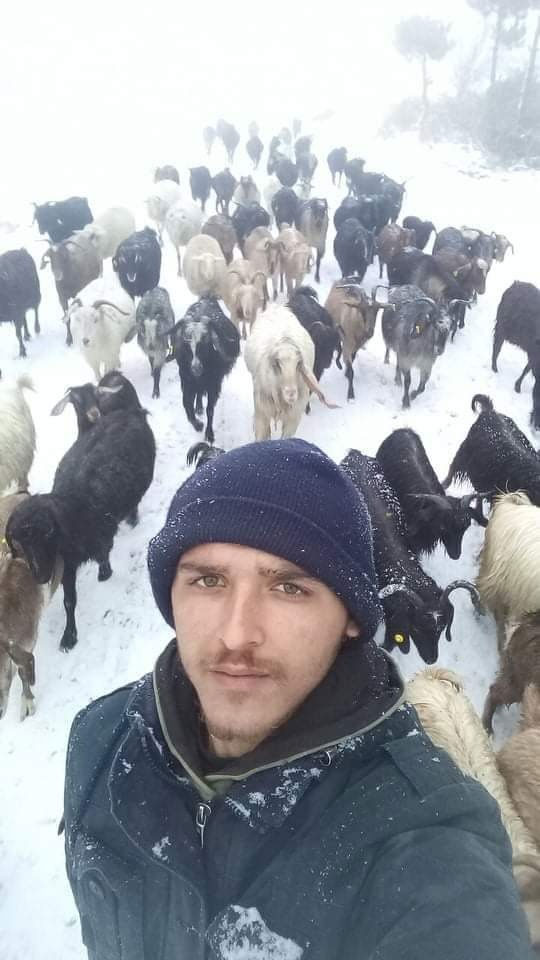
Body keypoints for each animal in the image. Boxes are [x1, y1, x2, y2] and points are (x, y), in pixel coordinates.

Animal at [6, 402, 155, 650]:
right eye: (19, 543)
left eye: (47, 533)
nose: (40, 576)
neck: (76, 510)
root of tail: (130, 412)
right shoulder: (67, 563)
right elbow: (69, 601)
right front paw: (69, 636)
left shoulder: (100, 540)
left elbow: (103, 555)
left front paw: (105, 573)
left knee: (135, 502)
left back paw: (132, 519)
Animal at [171, 297, 240, 443]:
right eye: (187, 346)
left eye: (204, 344)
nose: (196, 368)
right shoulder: (187, 382)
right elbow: (186, 405)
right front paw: (198, 425)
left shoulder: (213, 385)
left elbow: (210, 409)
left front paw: (209, 434)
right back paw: (198, 408)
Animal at [244, 304, 335, 441]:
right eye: (277, 364)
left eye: (298, 364)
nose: (291, 394)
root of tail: (278, 307)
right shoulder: (262, 414)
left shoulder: (293, 419)